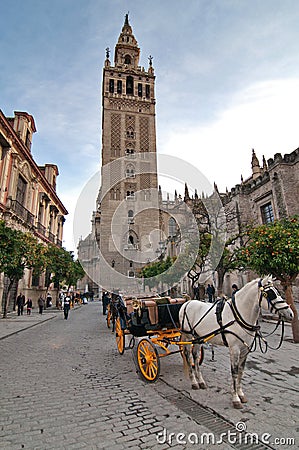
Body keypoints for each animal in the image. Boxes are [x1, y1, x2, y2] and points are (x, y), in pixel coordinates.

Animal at [179, 276, 294, 410]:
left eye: (277, 291)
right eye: (270, 294)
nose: (291, 314)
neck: (238, 315)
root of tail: (186, 303)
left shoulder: (245, 349)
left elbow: (240, 371)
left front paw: (241, 394)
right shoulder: (234, 349)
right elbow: (234, 372)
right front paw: (235, 399)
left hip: (198, 338)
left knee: (196, 356)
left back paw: (201, 381)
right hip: (188, 337)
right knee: (188, 356)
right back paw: (193, 382)